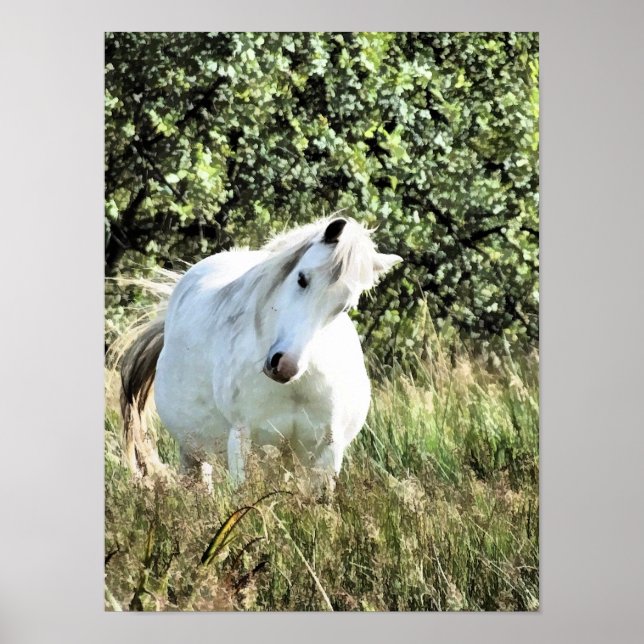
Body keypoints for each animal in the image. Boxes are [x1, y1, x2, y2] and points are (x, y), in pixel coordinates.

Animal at [119, 217, 401, 490]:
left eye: (345, 306)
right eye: (302, 278)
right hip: (193, 452)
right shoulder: (243, 441)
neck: (297, 387)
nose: (285, 365)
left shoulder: (326, 453)